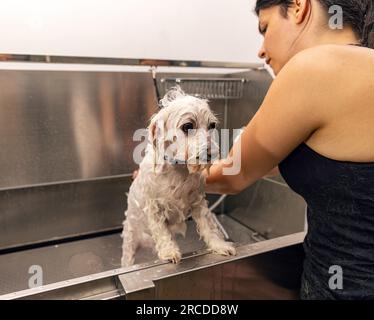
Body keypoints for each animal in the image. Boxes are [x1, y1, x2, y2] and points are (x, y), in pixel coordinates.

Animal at [121, 86, 235, 266]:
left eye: (212, 125)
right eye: (188, 126)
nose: (212, 153)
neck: (178, 170)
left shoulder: (198, 202)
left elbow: (208, 227)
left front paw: (219, 245)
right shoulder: (154, 208)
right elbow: (161, 231)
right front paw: (169, 251)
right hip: (130, 240)